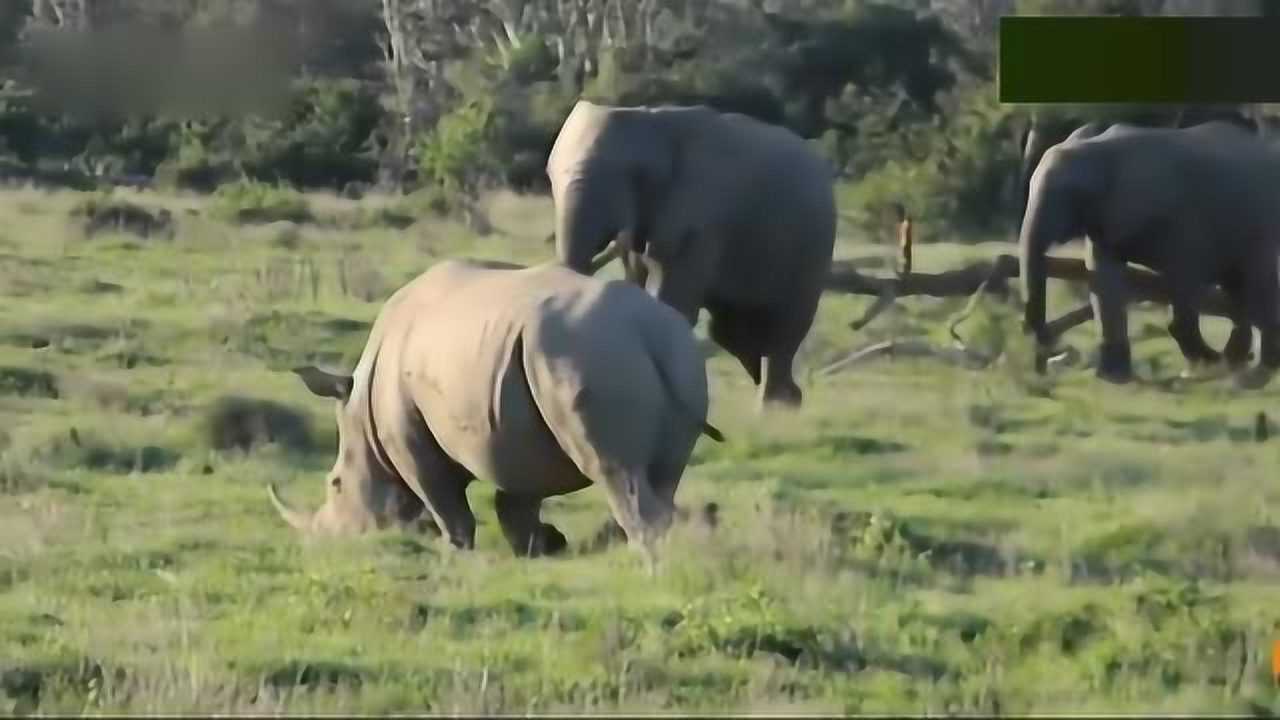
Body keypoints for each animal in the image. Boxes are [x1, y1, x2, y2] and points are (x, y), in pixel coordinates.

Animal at [264, 257, 727, 561]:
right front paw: (538, 548)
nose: (324, 544)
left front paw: (452, 553)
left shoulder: (407, 440)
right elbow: (517, 500)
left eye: (336, 484)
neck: (361, 407)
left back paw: (645, 563)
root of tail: (648, 334)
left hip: (589, 354)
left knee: (616, 471)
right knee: (662, 475)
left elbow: (442, 499)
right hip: (671, 358)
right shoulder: (514, 431)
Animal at [542, 99, 834, 409]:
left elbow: (671, 302)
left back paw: (777, 408)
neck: (654, 121)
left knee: (787, 327)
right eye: (550, 176)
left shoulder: (702, 218)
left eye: (635, 175)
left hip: (814, 246)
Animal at [1018, 120, 1280, 384]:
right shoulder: (1107, 219)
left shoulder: (1183, 217)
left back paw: (1255, 373)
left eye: (1074, 194)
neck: (1098, 150)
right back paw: (1238, 365)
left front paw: (1206, 364)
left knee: (1256, 286)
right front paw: (1114, 377)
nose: (1059, 350)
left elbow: (1184, 277)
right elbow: (1104, 280)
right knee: (1239, 291)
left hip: (1259, 227)